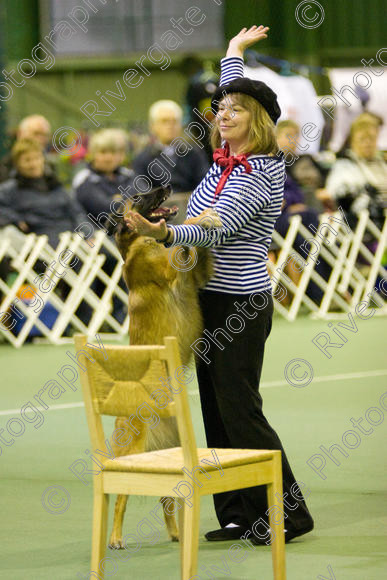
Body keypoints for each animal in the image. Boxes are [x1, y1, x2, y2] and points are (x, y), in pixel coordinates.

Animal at [106, 188, 223, 552]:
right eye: (141, 195)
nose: (166, 187)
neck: (138, 243)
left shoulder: (193, 276)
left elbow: (196, 250)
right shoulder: (175, 271)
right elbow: (186, 242)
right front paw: (202, 217)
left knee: (166, 500)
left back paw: (176, 534)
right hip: (134, 454)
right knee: (120, 499)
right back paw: (115, 538)